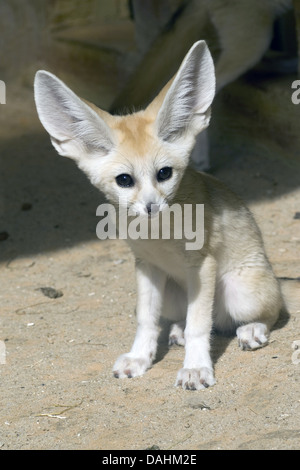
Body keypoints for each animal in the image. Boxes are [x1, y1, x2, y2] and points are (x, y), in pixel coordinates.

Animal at [35, 43, 286, 390]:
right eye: (124, 180)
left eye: (164, 173)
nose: (152, 208)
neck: (158, 234)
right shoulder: (146, 266)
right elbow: (147, 320)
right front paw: (140, 357)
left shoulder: (202, 266)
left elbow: (199, 325)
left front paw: (196, 367)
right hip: (173, 295)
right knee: (196, 320)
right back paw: (179, 330)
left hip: (242, 292)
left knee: (265, 313)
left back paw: (252, 329)